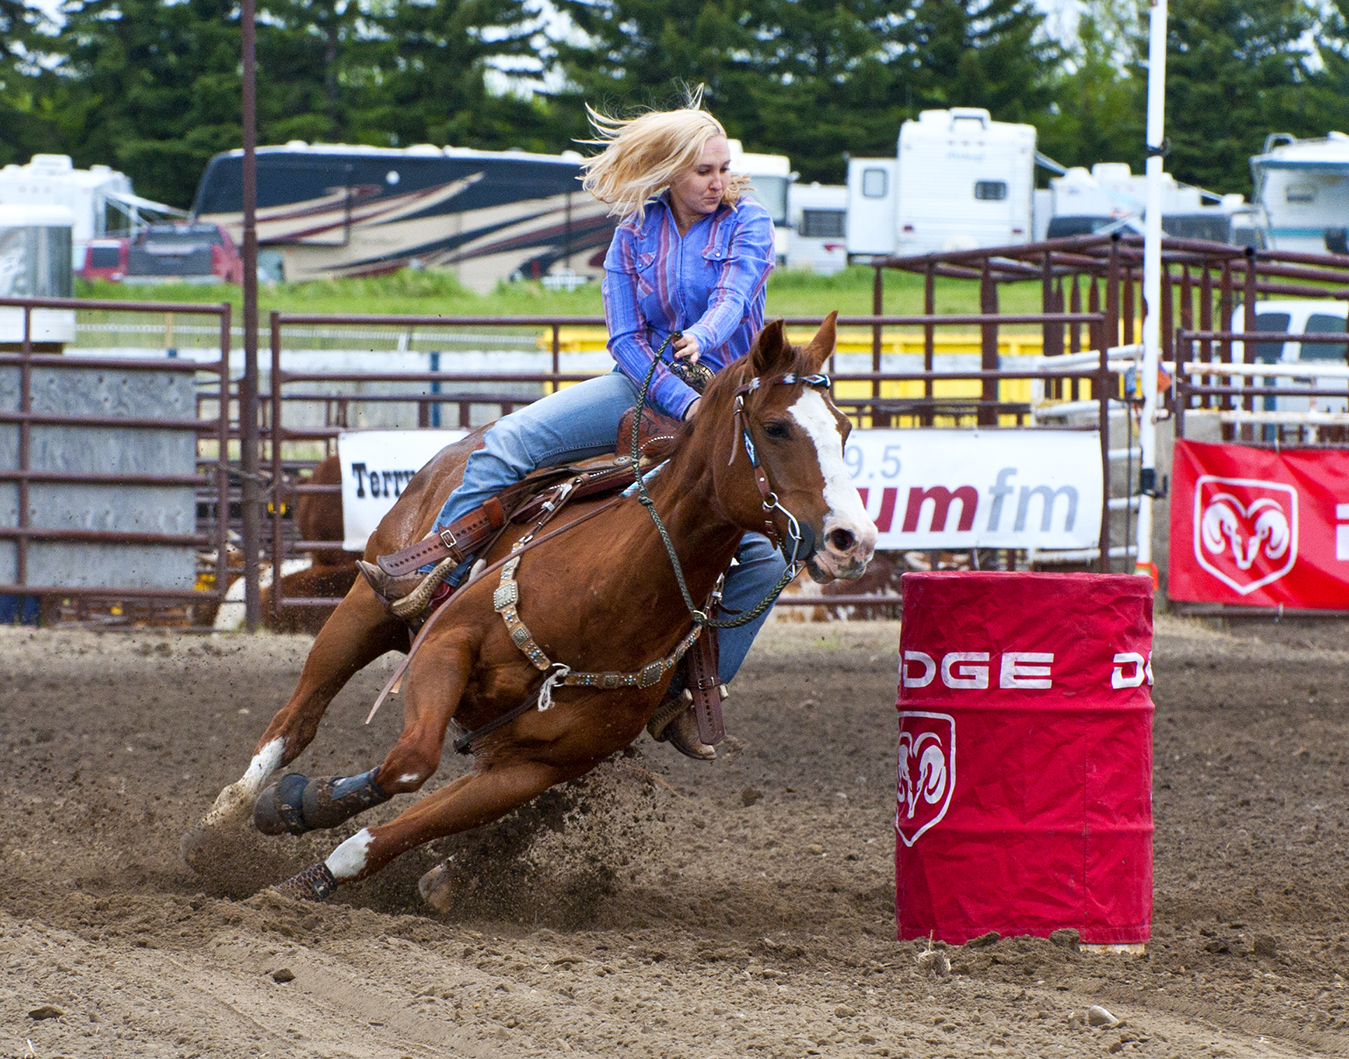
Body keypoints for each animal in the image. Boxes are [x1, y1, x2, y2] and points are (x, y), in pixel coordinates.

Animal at [182, 314, 874, 901]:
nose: (854, 540)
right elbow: (409, 762)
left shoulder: (537, 766)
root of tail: (467, 439)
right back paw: (216, 825)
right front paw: (299, 806)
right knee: (297, 720)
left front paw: (315, 874)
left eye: (843, 430)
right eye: (777, 427)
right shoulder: (445, 645)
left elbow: (400, 824)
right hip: (364, 611)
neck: (604, 595)